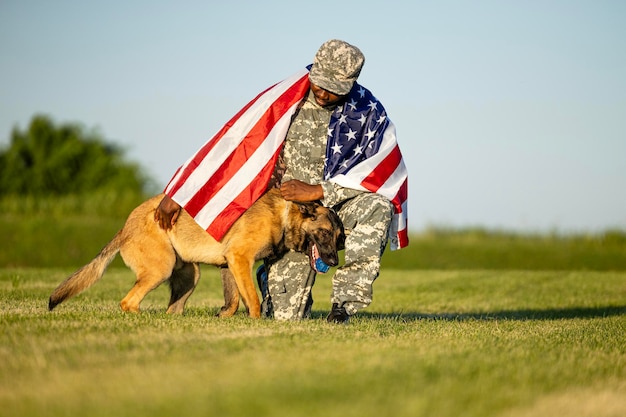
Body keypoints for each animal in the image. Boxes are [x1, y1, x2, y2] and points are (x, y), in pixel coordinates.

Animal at [48, 187, 342, 316]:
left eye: (340, 238)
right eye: (325, 233)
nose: (334, 261)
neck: (283, 214)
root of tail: (125, 226)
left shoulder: (229, 265)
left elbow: (233, 301)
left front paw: (225, 319)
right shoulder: (240, 258)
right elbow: (253, 300)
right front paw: (256, 322)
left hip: (190, 277)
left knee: (172, 308)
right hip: (161, 268)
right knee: (128, 302)